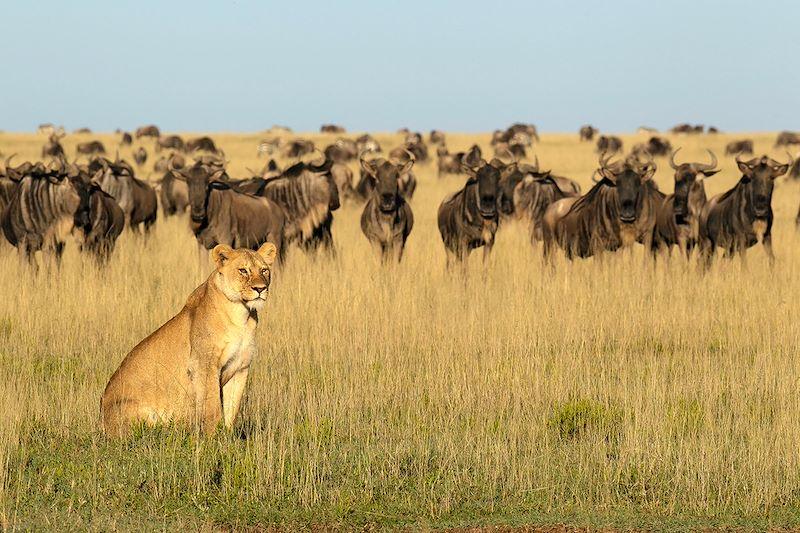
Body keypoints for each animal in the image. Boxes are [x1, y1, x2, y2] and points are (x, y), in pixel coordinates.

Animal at [100, 242, 277, 436]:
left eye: (264, 270)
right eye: (243, 270)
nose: (260, 289)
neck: (242, 316)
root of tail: (101, 422)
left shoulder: (240, 368)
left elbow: (232, 410)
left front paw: (228, 437)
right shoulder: (204, 365)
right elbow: (212, 407)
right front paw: (213, 438)